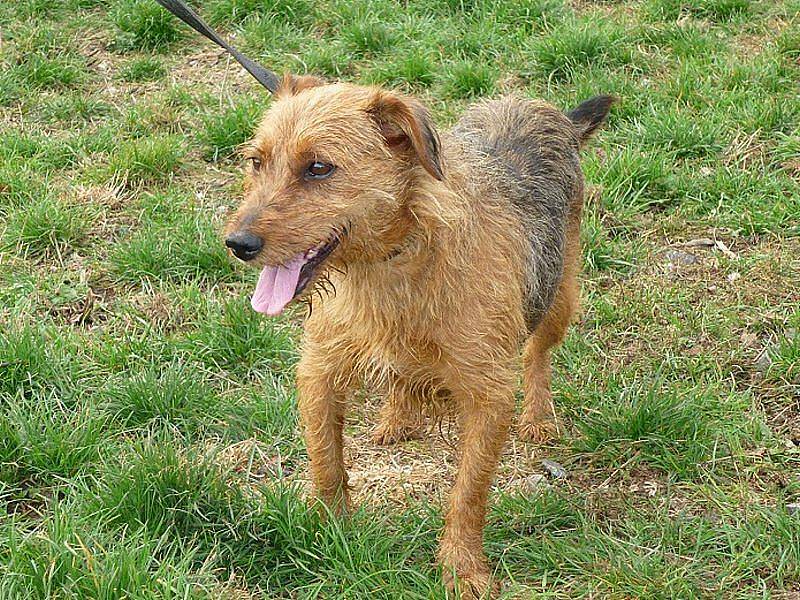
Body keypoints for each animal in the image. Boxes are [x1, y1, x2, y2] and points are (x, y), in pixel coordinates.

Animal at [225, 76, 612, 600]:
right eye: (256, 161)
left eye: (319, 168)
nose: (237, 244)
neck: (390, 261)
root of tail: (549, 112)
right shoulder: (318, 372)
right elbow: (325, 460)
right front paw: (329, 526)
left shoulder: (489, 396)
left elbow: (468, 492)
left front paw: (462, 568)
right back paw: (397, 417)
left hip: (559, 295)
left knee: (538, 353)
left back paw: (538, 416)